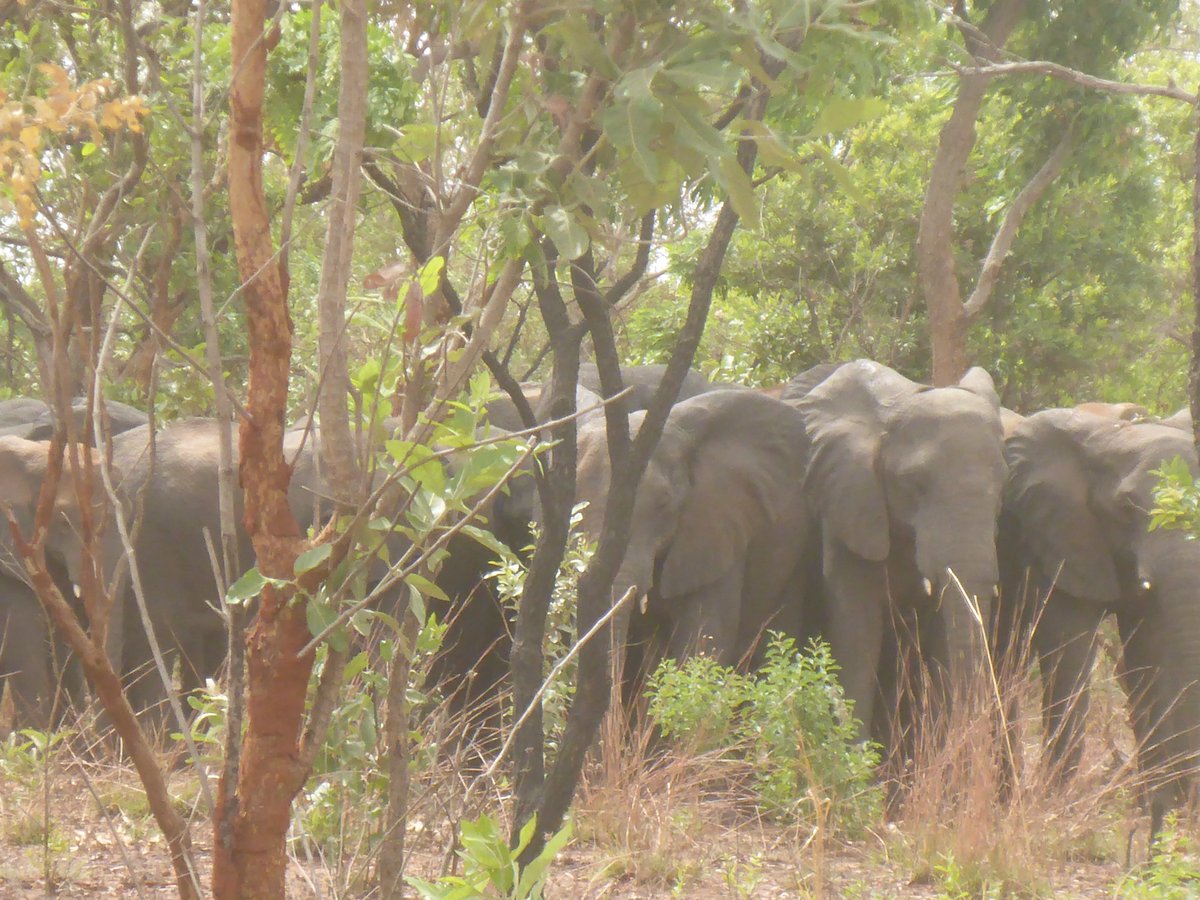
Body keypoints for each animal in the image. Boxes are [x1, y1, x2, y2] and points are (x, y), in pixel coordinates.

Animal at [997, 409, 1200, 833]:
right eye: (1126, 505)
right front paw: (1055, 807)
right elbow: (1068, 648)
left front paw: (1153, 807)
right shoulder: (1058, 538)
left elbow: (1147, 655)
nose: (1189, 805)